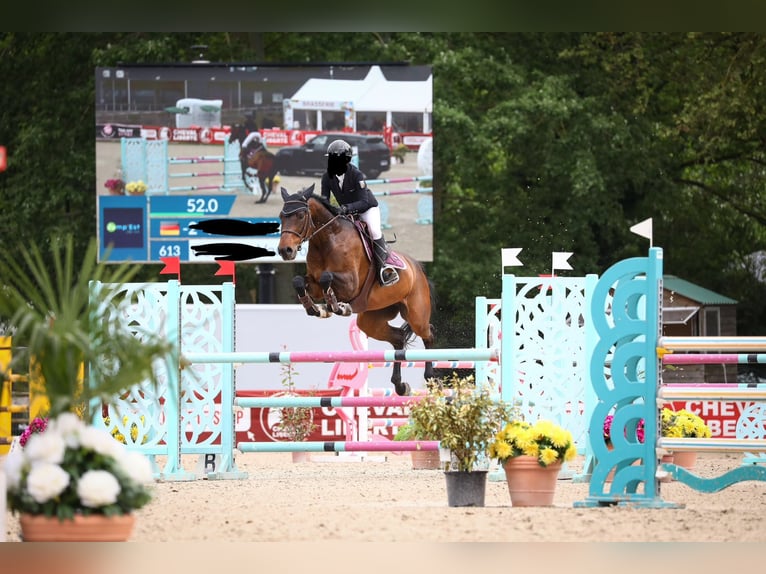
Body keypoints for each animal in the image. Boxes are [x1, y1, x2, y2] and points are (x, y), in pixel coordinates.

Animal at [277, 184, 436, 396]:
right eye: (281, 216)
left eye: (301, 215)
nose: (285, 251)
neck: (327, 238)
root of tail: (418, 268)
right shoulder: (314, 285)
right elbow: (299, 281)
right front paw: (316, 308)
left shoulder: (350, 284)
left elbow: (327, 277)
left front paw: (336, 306)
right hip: (371, 320)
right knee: (398, 338)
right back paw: (400, 386)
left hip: (416, 314)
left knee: (428, 334)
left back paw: (430, 378)